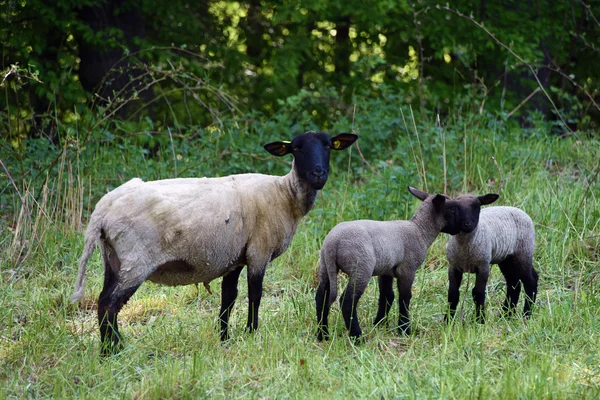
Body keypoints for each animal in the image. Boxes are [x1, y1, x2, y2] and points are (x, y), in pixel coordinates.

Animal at [70, 131, 356, 356]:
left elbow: (228, 298)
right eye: (297, 148)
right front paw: (251, 333)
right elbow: (255, 294)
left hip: (113, 258)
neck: (285, 195)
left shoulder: (235, 256)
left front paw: (224, 338)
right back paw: (113, 351)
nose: (318, 173)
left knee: (103, 301)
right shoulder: (258, 251)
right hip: (135, 260)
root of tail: (101, 211)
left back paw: (110, 349)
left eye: (328, 146)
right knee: (110, 305)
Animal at [314, 187, 464, 340]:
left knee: (321, 298)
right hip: (361, 267)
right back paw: (357, 337)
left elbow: (387, 296)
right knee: (347, 301)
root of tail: (333, 242)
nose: (462, 227)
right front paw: (404, 329)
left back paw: (322, 334)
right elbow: (404, 298)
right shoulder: (407, 269)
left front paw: (379, 324)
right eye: (452, 210)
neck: (420, 230)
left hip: (325, 267)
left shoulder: (386, 271)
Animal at [446, 195, 540, 324]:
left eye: (477, 207)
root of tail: (520, 210)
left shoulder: (483, 266)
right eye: (456, 209)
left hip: (523, 252)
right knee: (514, 284)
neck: (466, 249)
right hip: (506, 259)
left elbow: (478, 293)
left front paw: (480, 321)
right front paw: (447, 321)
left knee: (531, 280)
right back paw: (506, 315)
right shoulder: (453, 267)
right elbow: (453, 294)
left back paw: (526, 315)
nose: (467, 224)